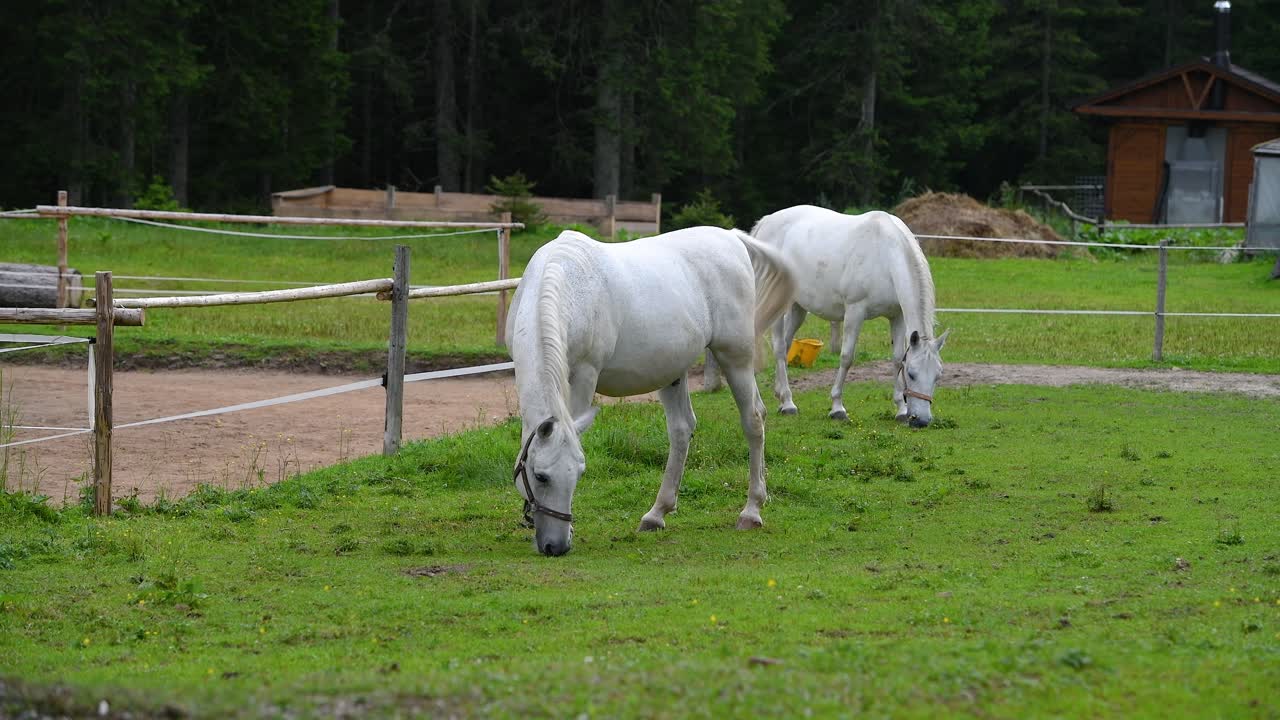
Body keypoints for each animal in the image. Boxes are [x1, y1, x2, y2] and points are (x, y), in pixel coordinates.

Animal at [507, 227, 796, 556]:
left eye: (579, 472)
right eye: (540, 476)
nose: (556, 546)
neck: (564, 281)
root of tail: (732, 238)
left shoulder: (583, 376)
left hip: (735, 358)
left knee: (753, 420)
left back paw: (752, 510)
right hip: (673, 372)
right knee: (682, 430)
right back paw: (657, 514)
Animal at [746, 205, 948, 426]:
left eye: (938, 375)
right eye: (911, 374)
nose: (921, 420)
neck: (885, 255)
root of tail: (766, 221)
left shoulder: (897, 316)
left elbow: (896, 359)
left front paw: (901, 410)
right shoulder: (854, 311)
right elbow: (846, 357)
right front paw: (837, 407)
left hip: (798, 307)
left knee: (786, 344)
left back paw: (782, 398)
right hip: (778, 305)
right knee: (778, 346)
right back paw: (788, 403)